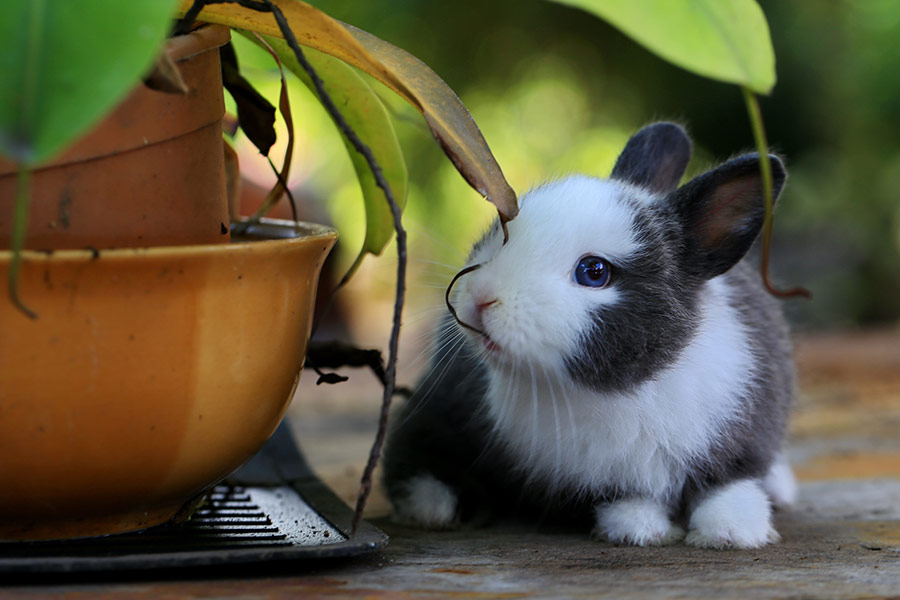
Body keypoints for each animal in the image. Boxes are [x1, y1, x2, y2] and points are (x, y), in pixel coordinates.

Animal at [383, 122, 796, 549]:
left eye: (594, 272)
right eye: (501, 229)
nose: (480, 297)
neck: (621, 390)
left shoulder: (743, 439)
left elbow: (729, 486)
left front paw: (732, 533)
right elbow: (626, 498)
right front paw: (641, 530)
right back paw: (433, 508)